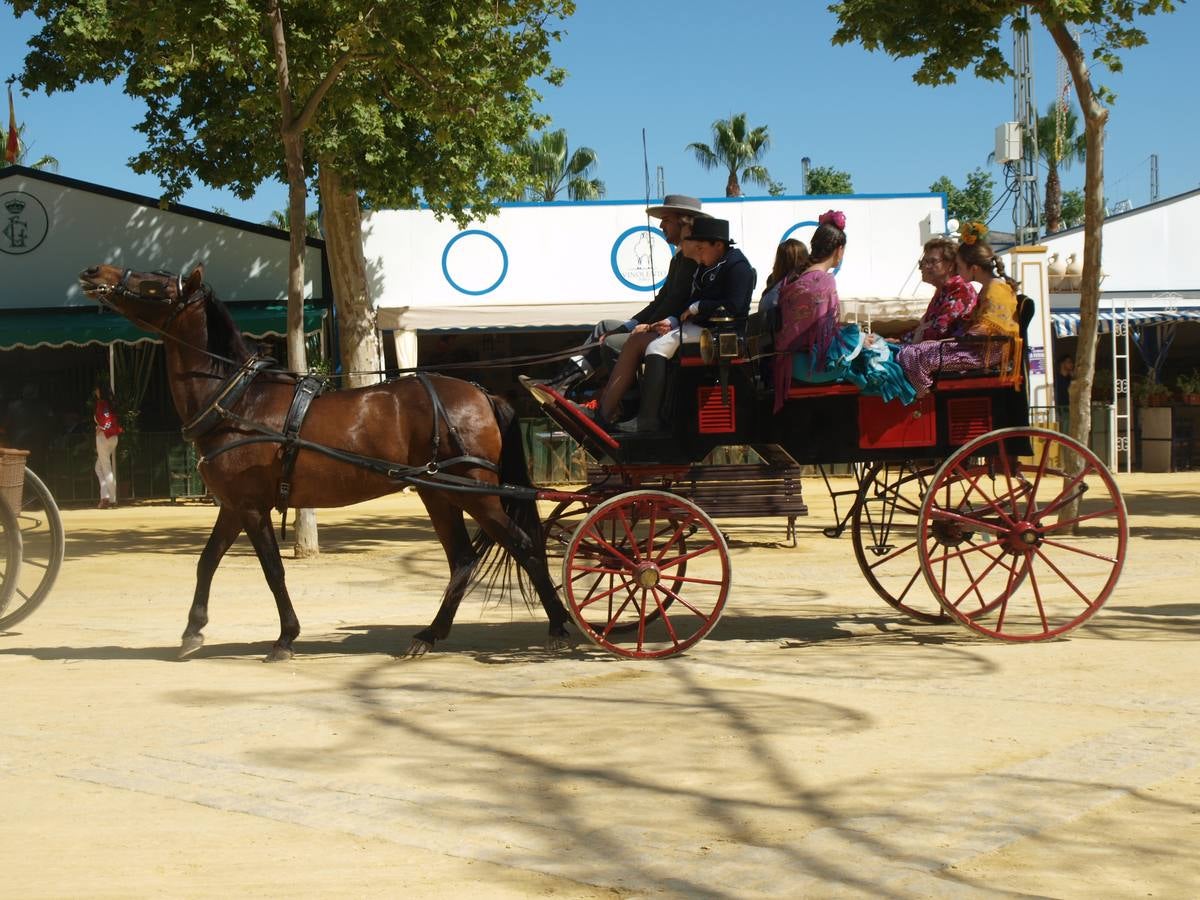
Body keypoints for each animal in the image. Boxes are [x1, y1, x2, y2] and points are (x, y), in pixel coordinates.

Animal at [79, 260, 576, 662]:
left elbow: (273, 570)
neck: (239, 399)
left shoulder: (252, 508)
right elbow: (207, 562)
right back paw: (430, 635)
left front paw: (285, 638)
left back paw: (558, 624)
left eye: (155, 283)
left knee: (524, 545)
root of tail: (482, 393)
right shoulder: (234, 506)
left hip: (475, 493)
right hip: (439, 493)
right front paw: (192, 632)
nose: (94, 272)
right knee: (463, 560)